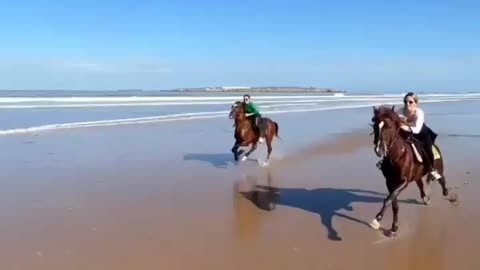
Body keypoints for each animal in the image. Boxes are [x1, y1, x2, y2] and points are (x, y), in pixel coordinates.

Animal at [368, 104, 458, 237]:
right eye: (375, 126)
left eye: (389, 127)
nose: (379, 150)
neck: (397, 157)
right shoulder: (390, 182)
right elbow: (394, 203)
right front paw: (393, 228)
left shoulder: (403, 182)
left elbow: (388, 200)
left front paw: (377, 220)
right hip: (417, 176)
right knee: (421, 185)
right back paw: (425, 198)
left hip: (438, 168)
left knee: (441, 178)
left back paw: (446, 192)